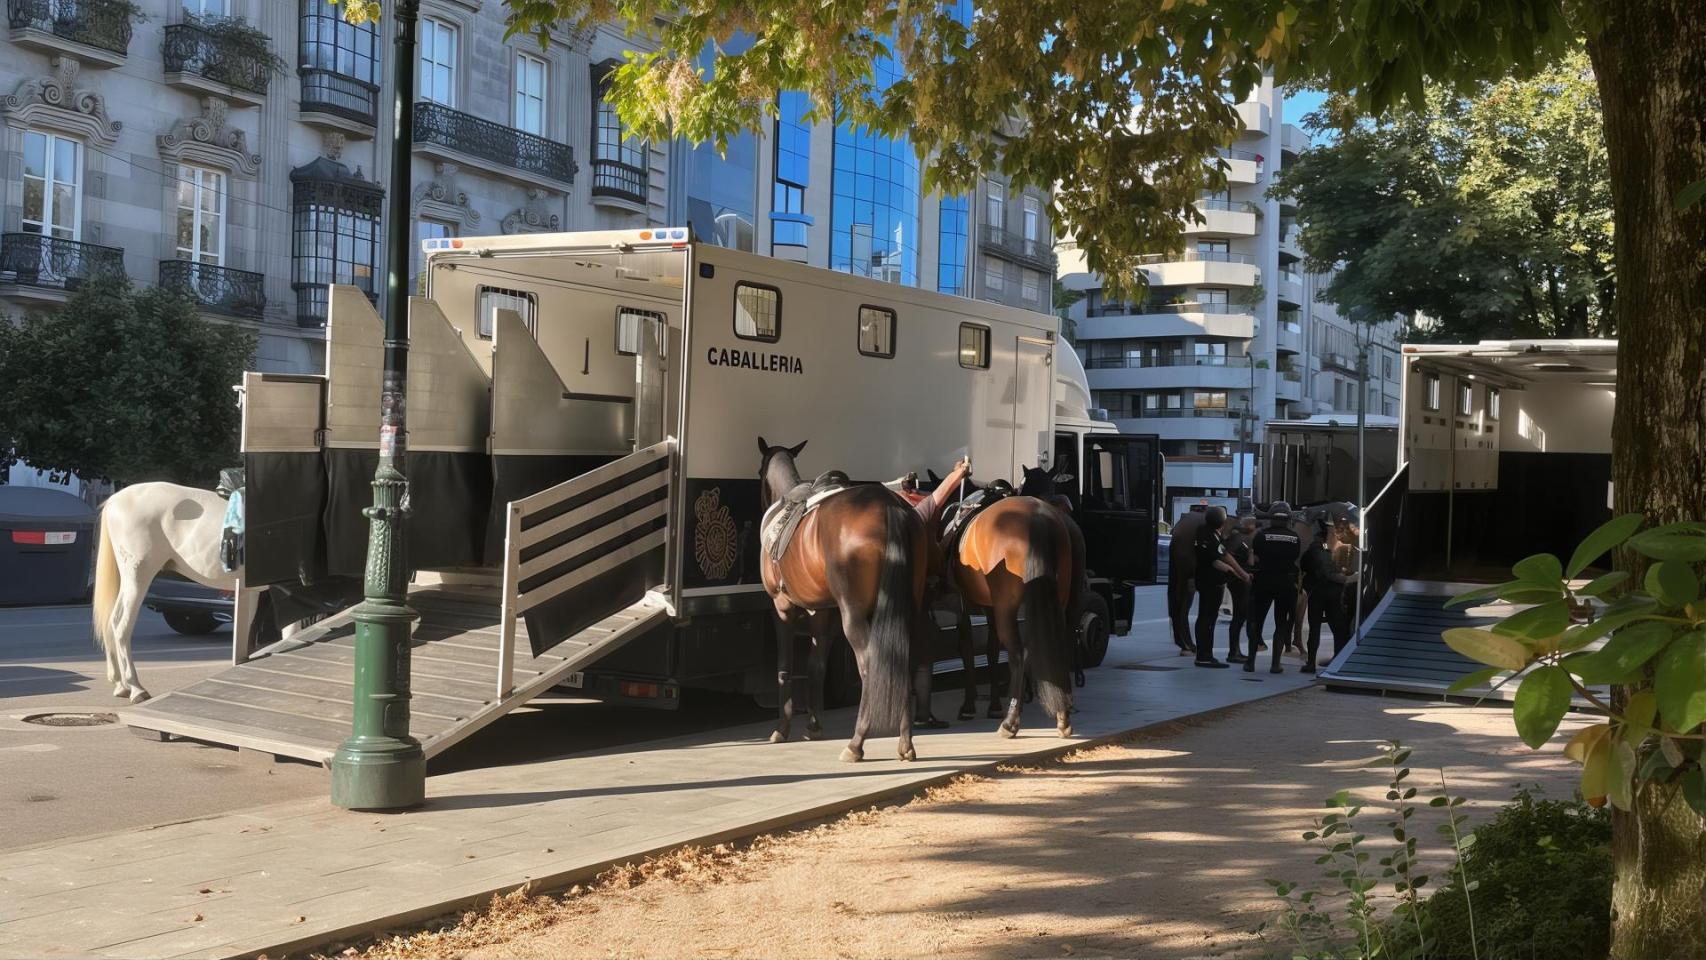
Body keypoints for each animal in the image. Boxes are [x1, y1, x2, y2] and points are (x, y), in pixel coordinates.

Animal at [93, 481, 270, 702]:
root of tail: (114, 500)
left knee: (111, 622)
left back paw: (120, 685)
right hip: (137, 577)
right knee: (120, 625)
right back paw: (136, 688)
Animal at [757, 438, 931, 763]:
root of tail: (890, 506)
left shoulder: (781, 607)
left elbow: (785, 668)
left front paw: (781, 729)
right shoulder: (822, 612)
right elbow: (815, 667)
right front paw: (813, 726)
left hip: (854, 616)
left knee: (870, 667)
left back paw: (856, 743)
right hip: (908, 612)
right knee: (902, 665)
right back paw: (905, 742)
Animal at [947, 493, 1082, 739]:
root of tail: (1038, 516)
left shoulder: (966, 604)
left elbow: (968, 649)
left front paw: (969, 706)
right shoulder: (989, 607)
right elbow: (990, 649)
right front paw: (993, 704)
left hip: (1007, 607)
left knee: (1019, 654)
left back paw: (1010, 722)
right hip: (1061, 602)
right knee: (1059, 648)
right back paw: (1062, 718)